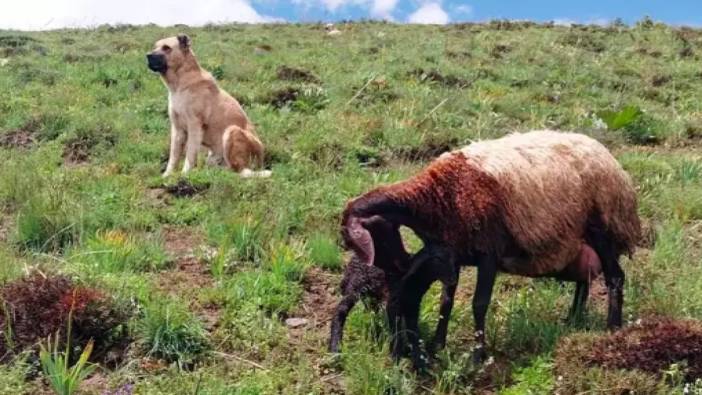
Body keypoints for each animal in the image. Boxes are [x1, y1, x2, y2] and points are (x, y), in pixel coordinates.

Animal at [147, 35, 270, 178]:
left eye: (166, 48)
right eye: (155, 46)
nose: (148, 56)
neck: (181, 83)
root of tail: (262, 159)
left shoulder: (195, 126)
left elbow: (190, 154)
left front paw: (185, 174)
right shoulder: (177, 129)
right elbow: (173, 156)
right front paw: (167, 175)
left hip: (232, 130)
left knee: (239, 170)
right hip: (212, 157)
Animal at [330, 215, 462, 366]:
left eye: (454, 261)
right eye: (438, 260)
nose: (453, 279)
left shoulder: (412, 305)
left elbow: (413, 330)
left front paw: (420, 360)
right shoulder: (394, 301)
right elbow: (397, 330)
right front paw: (396, 359)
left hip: (371, 293)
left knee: (371, 309)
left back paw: (376, 331)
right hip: (356, 285)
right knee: (341, 310)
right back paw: (335, 349)